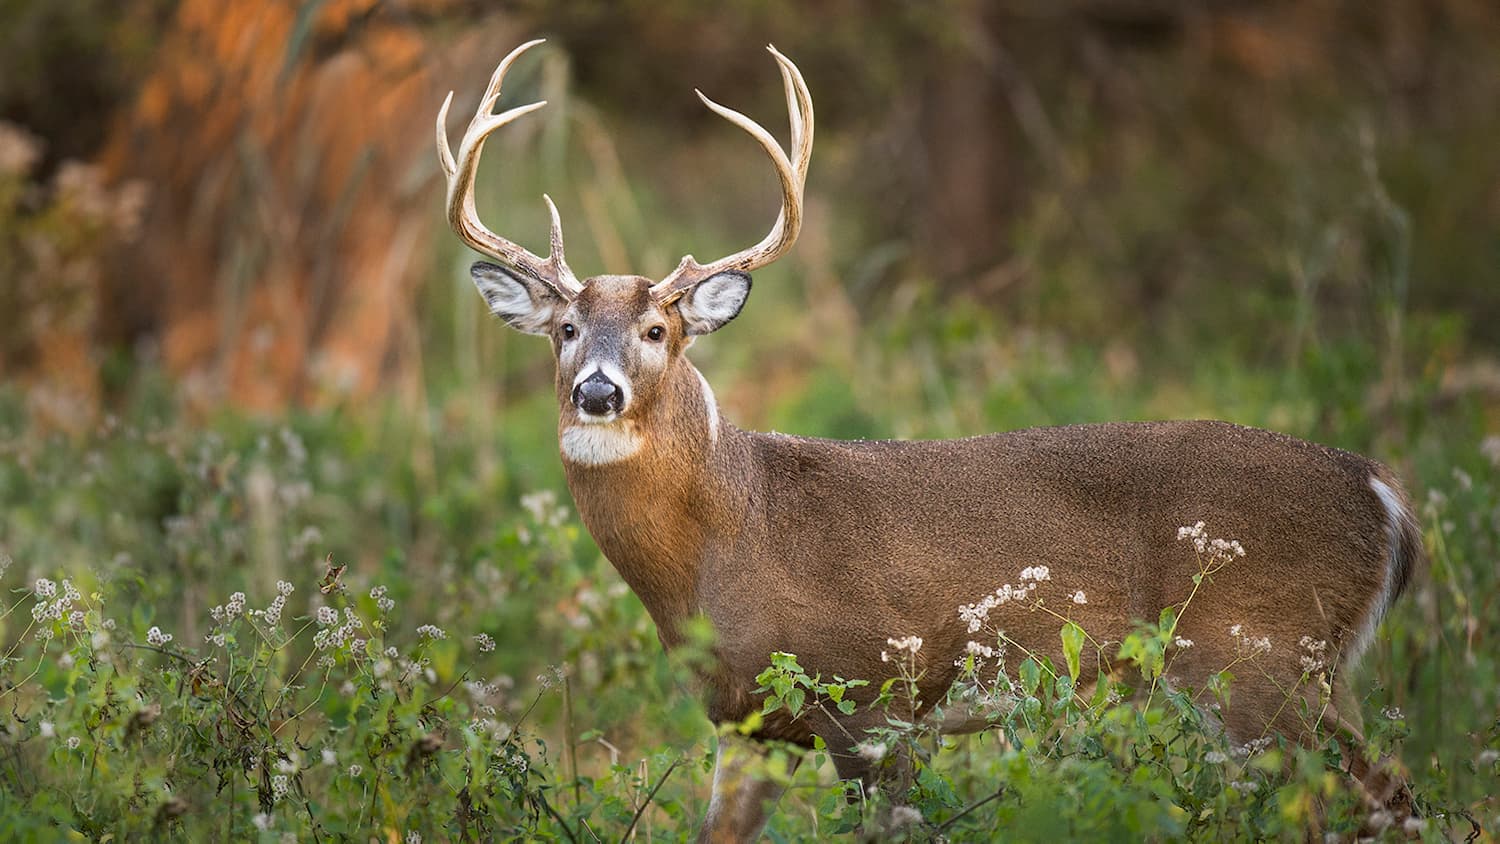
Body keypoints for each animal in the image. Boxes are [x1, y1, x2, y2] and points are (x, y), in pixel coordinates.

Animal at [435, 41, 1416, 844]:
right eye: (564, 329)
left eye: (657, 330)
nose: (598, 391)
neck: (732, 536)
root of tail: (1381, 491)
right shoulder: (743, 723)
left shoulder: (876, 696)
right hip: (1304, 669)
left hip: (1257, 656)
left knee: (1363, 798)